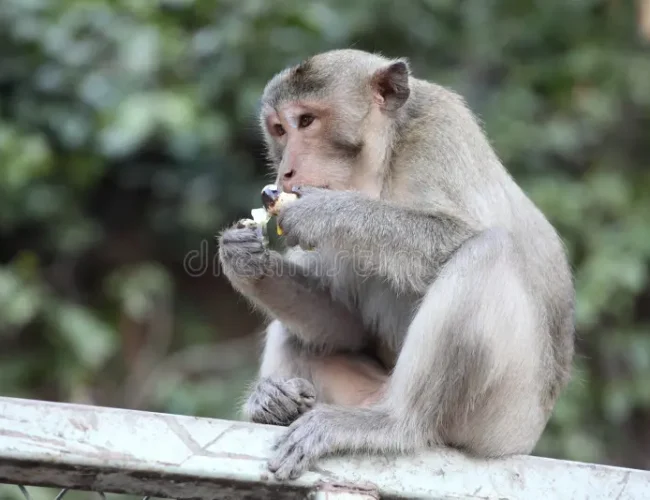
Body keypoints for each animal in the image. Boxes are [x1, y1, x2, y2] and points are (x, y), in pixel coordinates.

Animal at [217, 49, 575, 481]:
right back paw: (272, 402)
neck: (383, 169)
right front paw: (245, 261)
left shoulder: (438, 133)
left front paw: (324, 211)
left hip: (501, 418)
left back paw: (395, 424)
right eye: (279, 129)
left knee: (487, 251)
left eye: (306, 121)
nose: (285, 171)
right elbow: (347, 328)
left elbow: (458, 232)